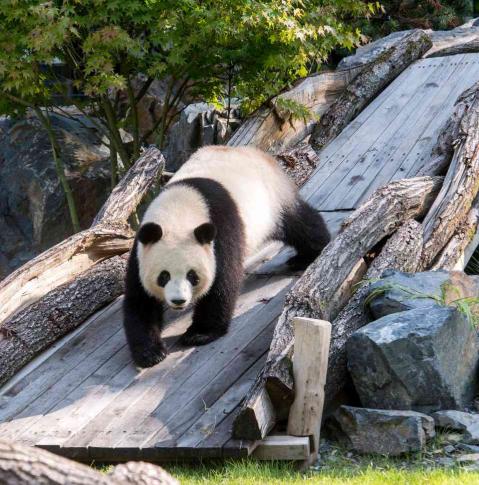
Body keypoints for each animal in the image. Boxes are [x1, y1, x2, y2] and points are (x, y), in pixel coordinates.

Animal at [124, 145, 330, 366]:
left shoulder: (219, 229)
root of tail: (255, 151)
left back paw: (310, 253)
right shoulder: (141, 250)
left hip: (272, 199)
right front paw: (150, 352)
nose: (178, 301)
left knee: (299, 223)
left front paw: (200, 333)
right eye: (163, 276)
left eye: (192, 275)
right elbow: (140, 299)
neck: (177, 212)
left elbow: (222, 281)